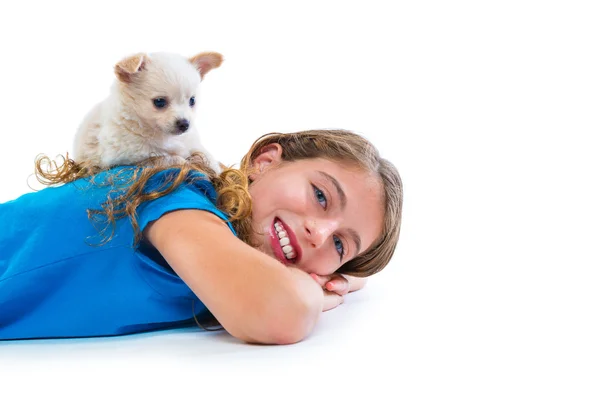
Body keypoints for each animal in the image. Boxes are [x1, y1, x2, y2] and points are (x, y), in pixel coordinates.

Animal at [72, 51, 223, 172]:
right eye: (159, 102)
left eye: (192, 101)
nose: (184, 124)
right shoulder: (127, 157)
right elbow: (168, 158)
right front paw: (187, 162)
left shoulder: (190, 141)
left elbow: (204, 153)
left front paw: (215, 169)